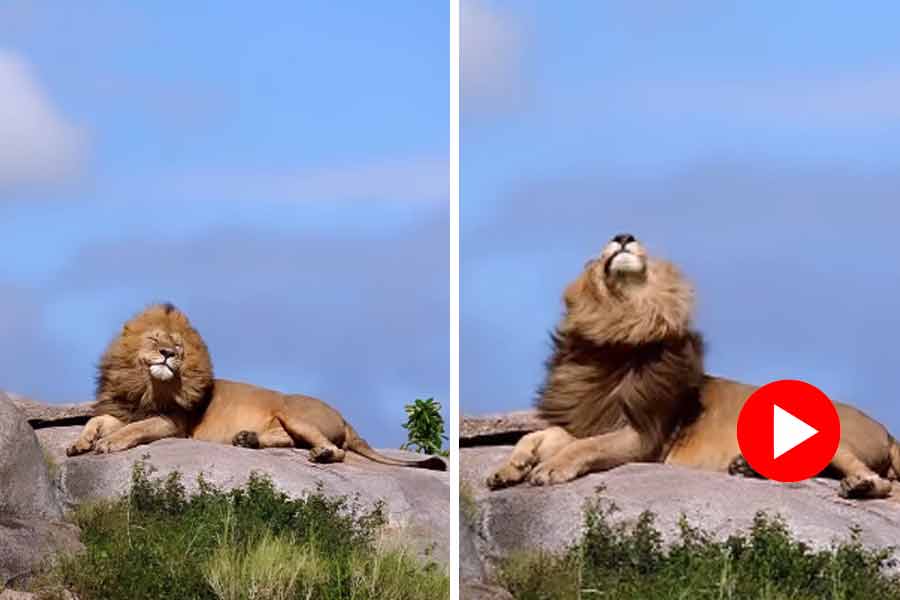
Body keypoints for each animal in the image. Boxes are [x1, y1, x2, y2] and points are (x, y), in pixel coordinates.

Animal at [66, 303, 446, 471]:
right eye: (155, 339)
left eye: (179, 346)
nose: (168, 354)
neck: (145, 385)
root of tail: (344, 416)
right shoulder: (125, 410)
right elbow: (96, 420)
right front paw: (79, 443)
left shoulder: (172, 422)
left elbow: (136, 429)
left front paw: (109, 444)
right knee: (287, 440)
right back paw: (247, 439)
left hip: (294, 412)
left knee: (333, 449)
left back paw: (320, 455)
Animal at [486, 234, 899, 499]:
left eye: (642, 248)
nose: (623, 236)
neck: (619, 324)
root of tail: (887, 431)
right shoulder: (588, 417)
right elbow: (537, 435)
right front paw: (507, 469)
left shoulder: (643, 436)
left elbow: (585, 447)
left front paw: (549, 468)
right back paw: (745, 467)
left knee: (881, 483)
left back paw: (859, 486)